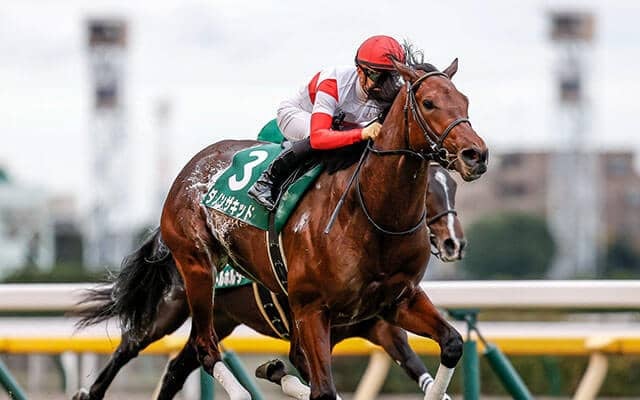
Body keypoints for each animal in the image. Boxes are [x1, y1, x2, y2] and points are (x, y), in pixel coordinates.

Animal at [71, 163, 465, 400]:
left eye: (452, 187)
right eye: (425, 193)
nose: (453, 242)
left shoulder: (383, 327)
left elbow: (418, 366)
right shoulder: (307, 332)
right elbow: (312, 380)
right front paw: (273, 369)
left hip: (221, 319)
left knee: (179, 366)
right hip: (172, 307)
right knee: (130, 345)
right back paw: (89, 391)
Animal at [158, 58, 486, 400]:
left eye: (464, 101)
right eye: (428, 103)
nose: (476, 155)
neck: (371, 217)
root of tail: (191, 167)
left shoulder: (397, 303)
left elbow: (451, 343)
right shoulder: (311, 310)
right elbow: (323, 389)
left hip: (219, 311)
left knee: (181, 365)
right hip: (195, 270)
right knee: (202, 348)